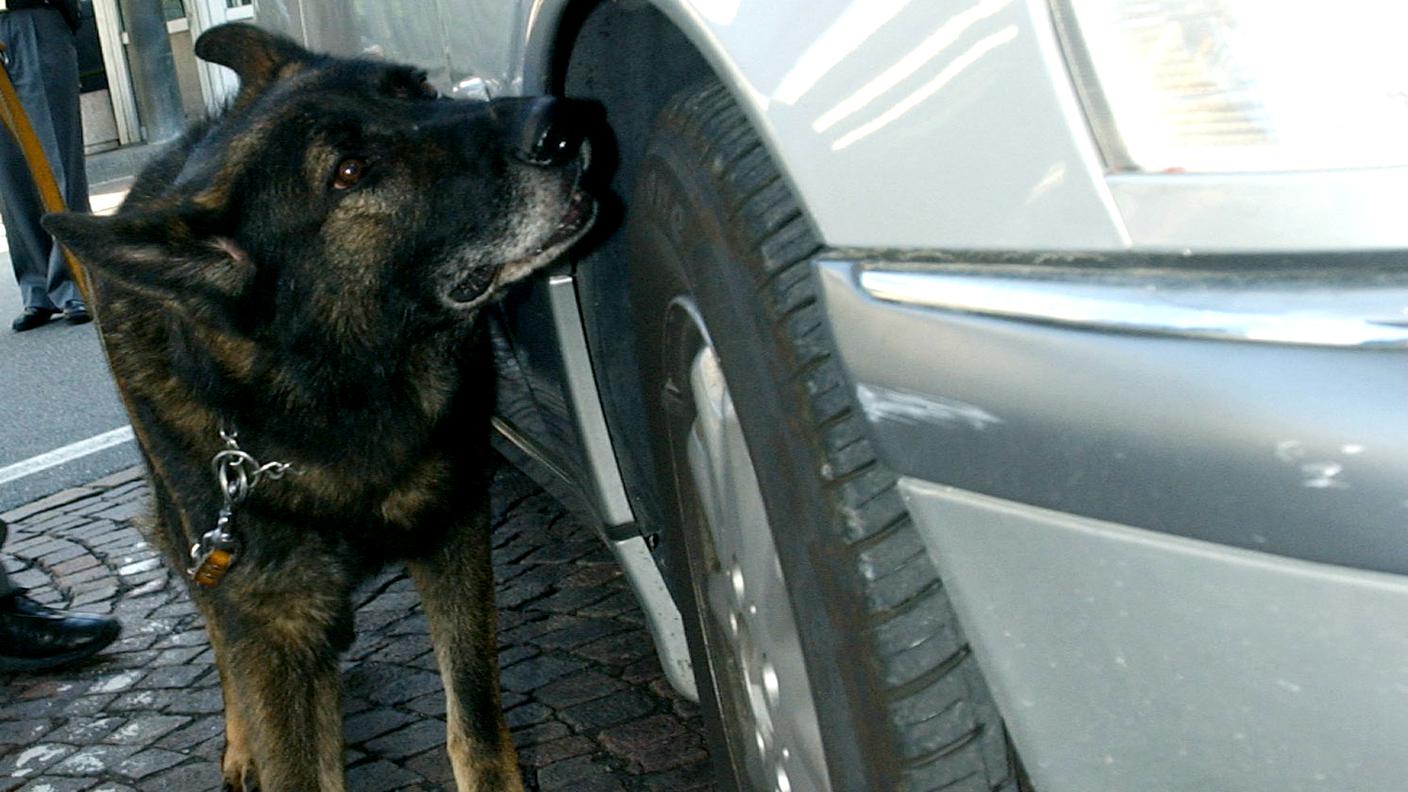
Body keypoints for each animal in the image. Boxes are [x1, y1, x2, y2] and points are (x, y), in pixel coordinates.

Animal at [42, 24, 594, 789]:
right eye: (350, 172)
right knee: (222, 644)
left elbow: (476, 719)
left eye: (420, 89)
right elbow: (276, 718)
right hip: (192, 541)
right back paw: (242, 743)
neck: (338, 401)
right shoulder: (263, 607)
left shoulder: (454, 532)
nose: (562, 123)